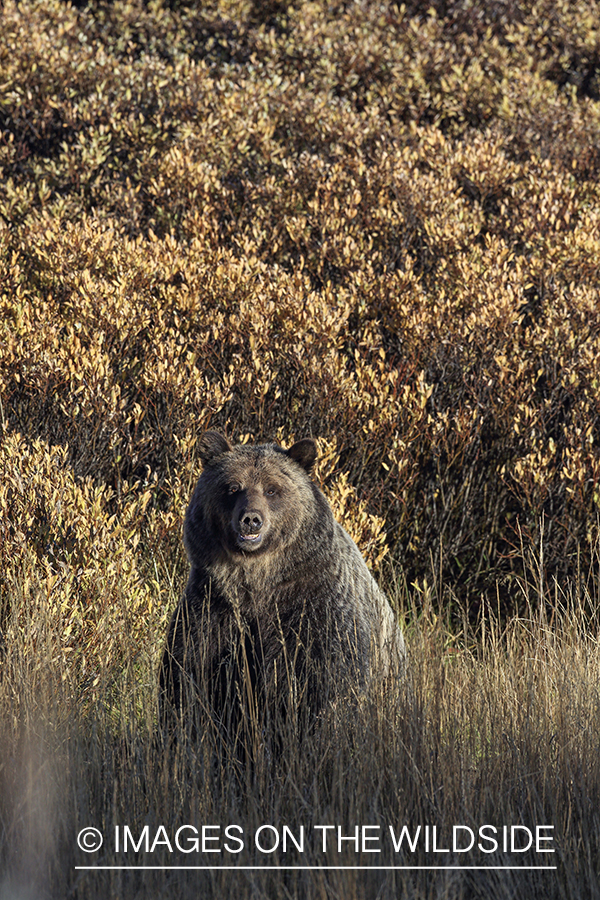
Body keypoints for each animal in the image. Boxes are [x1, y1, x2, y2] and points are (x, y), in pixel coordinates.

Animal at [159, 434, 404, 752]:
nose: (251, 519)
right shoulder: (213, 610)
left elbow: (329, 684)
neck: (258, 582)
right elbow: (188, 676)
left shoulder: (313, 610)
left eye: (272, 489)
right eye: (232, 487)